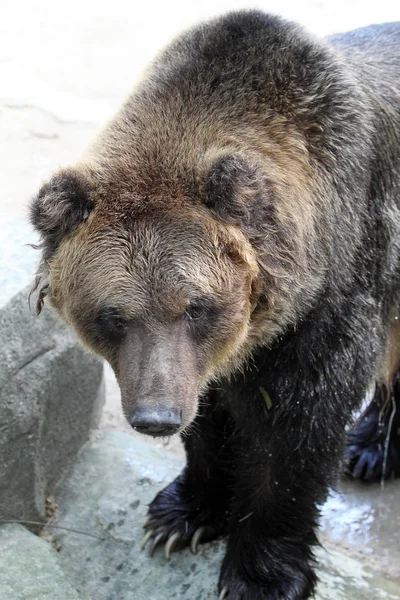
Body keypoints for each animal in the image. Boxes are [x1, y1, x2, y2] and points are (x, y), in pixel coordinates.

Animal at [30, 11, 400, 600]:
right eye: (112, 315)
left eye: (195, 307)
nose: (155, 417)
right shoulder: (203, 358)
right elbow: (209, 412)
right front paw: (180, 517)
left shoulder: (336, 286)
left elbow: (298, 428)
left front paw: (261, 574)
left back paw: (367, 450)